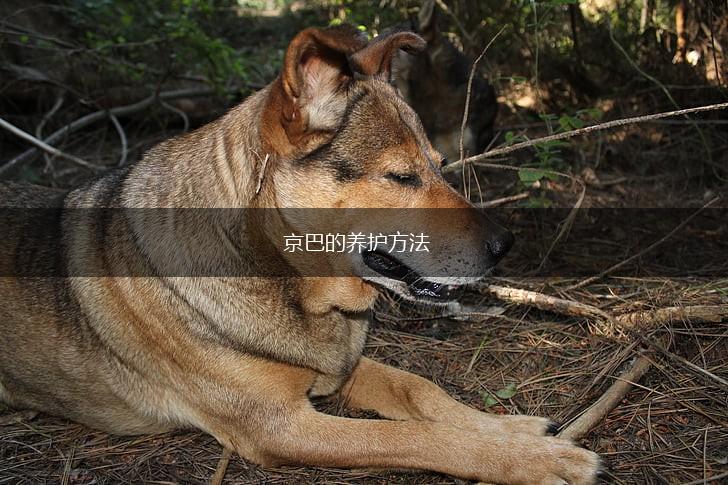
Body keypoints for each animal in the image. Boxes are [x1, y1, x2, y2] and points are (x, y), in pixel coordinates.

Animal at [0, 27, 600, 484]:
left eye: (439, 165)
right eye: (400, 176)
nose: (506, 246)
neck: (286, 279)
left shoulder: (340, 369)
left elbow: (420, 389)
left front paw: (507, 429)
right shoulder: (281, 426)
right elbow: (411, 435)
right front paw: (529, 458)